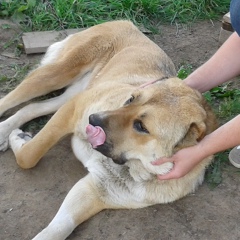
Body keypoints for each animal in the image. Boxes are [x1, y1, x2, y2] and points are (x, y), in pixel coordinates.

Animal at [0, 21, 218, 240]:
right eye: (131, 99)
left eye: (141, 126)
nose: (92, 119)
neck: (131, 165)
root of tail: (128, 23)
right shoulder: (74, 109)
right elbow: (29, 155)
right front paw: (20, 139)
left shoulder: (95, 190)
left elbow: (57, 228)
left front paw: (18, 136)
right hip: (55, 77)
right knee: (10, 99)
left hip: (71, 94)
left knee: (32, 107)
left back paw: (4, 131)